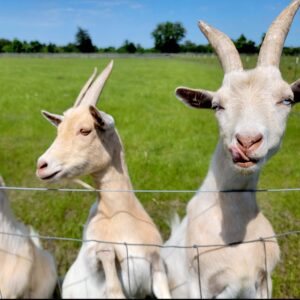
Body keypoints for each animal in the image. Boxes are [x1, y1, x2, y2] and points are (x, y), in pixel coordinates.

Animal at [35, 61, 171, 300]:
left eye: (85, 130)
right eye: (59, 130)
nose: (42, 165)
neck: (120, 217)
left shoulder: (157, 265)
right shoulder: (96, 262)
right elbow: (113, 285)